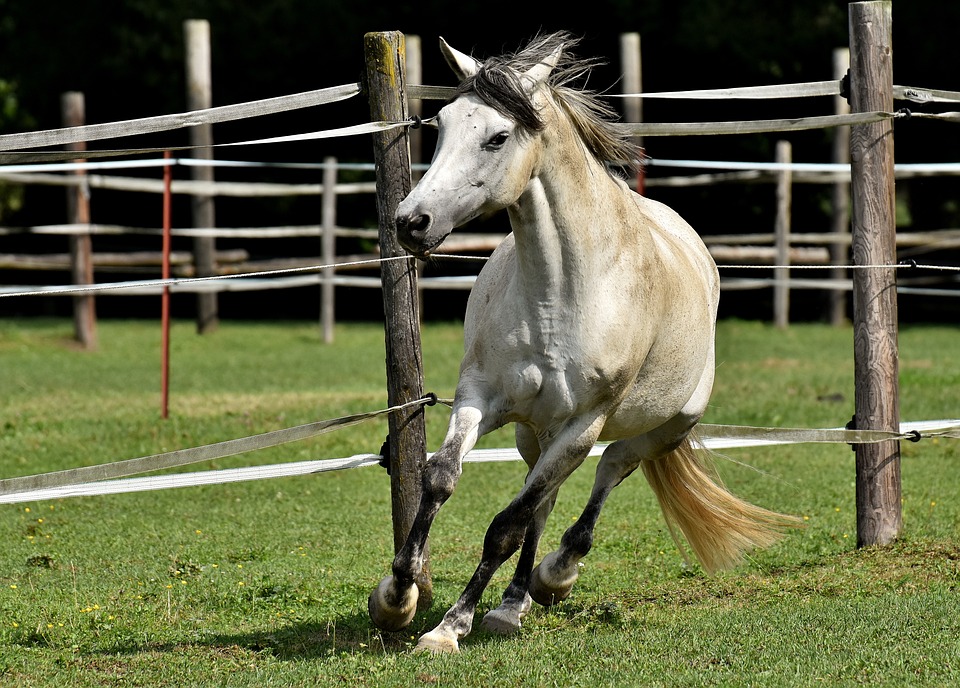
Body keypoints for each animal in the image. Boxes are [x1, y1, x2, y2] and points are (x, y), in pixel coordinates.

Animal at [368, 33, 796, 656]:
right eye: (441, 124)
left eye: (497, 137)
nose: (411, 221)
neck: (562, 292)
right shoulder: (480, 398)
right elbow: (441, 477)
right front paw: (397, 596)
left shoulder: (583, 424)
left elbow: (504, 527)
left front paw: (449, 627)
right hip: (535, 432)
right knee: (541, 498)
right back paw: (513, 604)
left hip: (659, 429)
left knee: (605, 473)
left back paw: (554, 575)